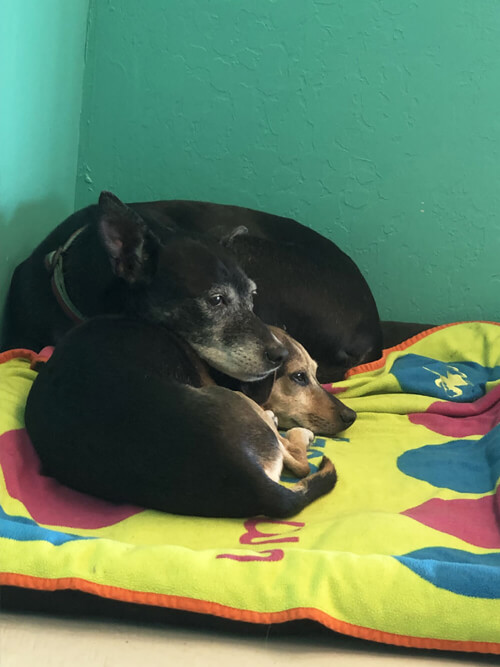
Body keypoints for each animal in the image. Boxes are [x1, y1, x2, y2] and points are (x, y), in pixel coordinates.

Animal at [23, 316, 336, 520]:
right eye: (299, 377)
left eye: (315, 373)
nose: (347, 416)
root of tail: (254, 483)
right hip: (233, 400)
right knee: (298, 463)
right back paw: (293, 432)